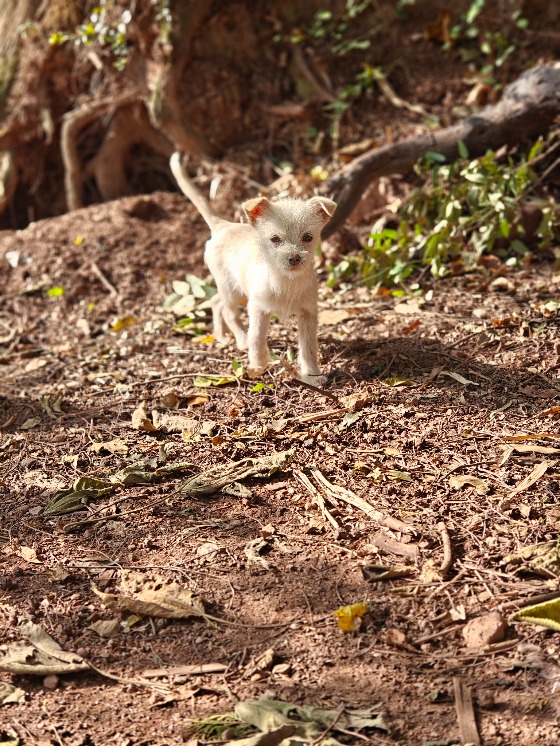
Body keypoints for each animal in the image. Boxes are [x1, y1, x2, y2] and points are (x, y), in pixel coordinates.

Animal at [171, 151, 334, 384]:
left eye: (308, 237)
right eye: (275, 239)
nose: (293, 258)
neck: (285, 282)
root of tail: (224, 225)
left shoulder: (307, 315)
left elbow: (309, 348)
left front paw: (312, 375)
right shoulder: (258, 309)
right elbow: (256, 337)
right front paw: (257, 366)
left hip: (236, 290)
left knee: (216, 302)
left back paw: (221, 335)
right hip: (231, 290)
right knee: (229, 312)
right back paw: (240, 340)